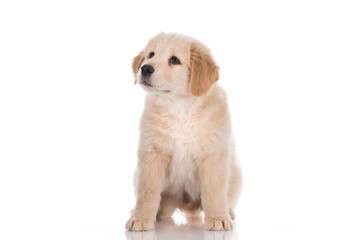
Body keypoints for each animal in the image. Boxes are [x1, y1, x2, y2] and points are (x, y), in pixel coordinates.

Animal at [126, 32, 242, 231]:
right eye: (151, 54)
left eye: (174, 60)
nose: (145, 68)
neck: (179, 107)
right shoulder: (152, 154)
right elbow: (147, 191)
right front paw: (140, 219)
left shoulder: (213, 156)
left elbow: (214, 191)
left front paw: (218, 218)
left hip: (236, 173)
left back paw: (228, 212)